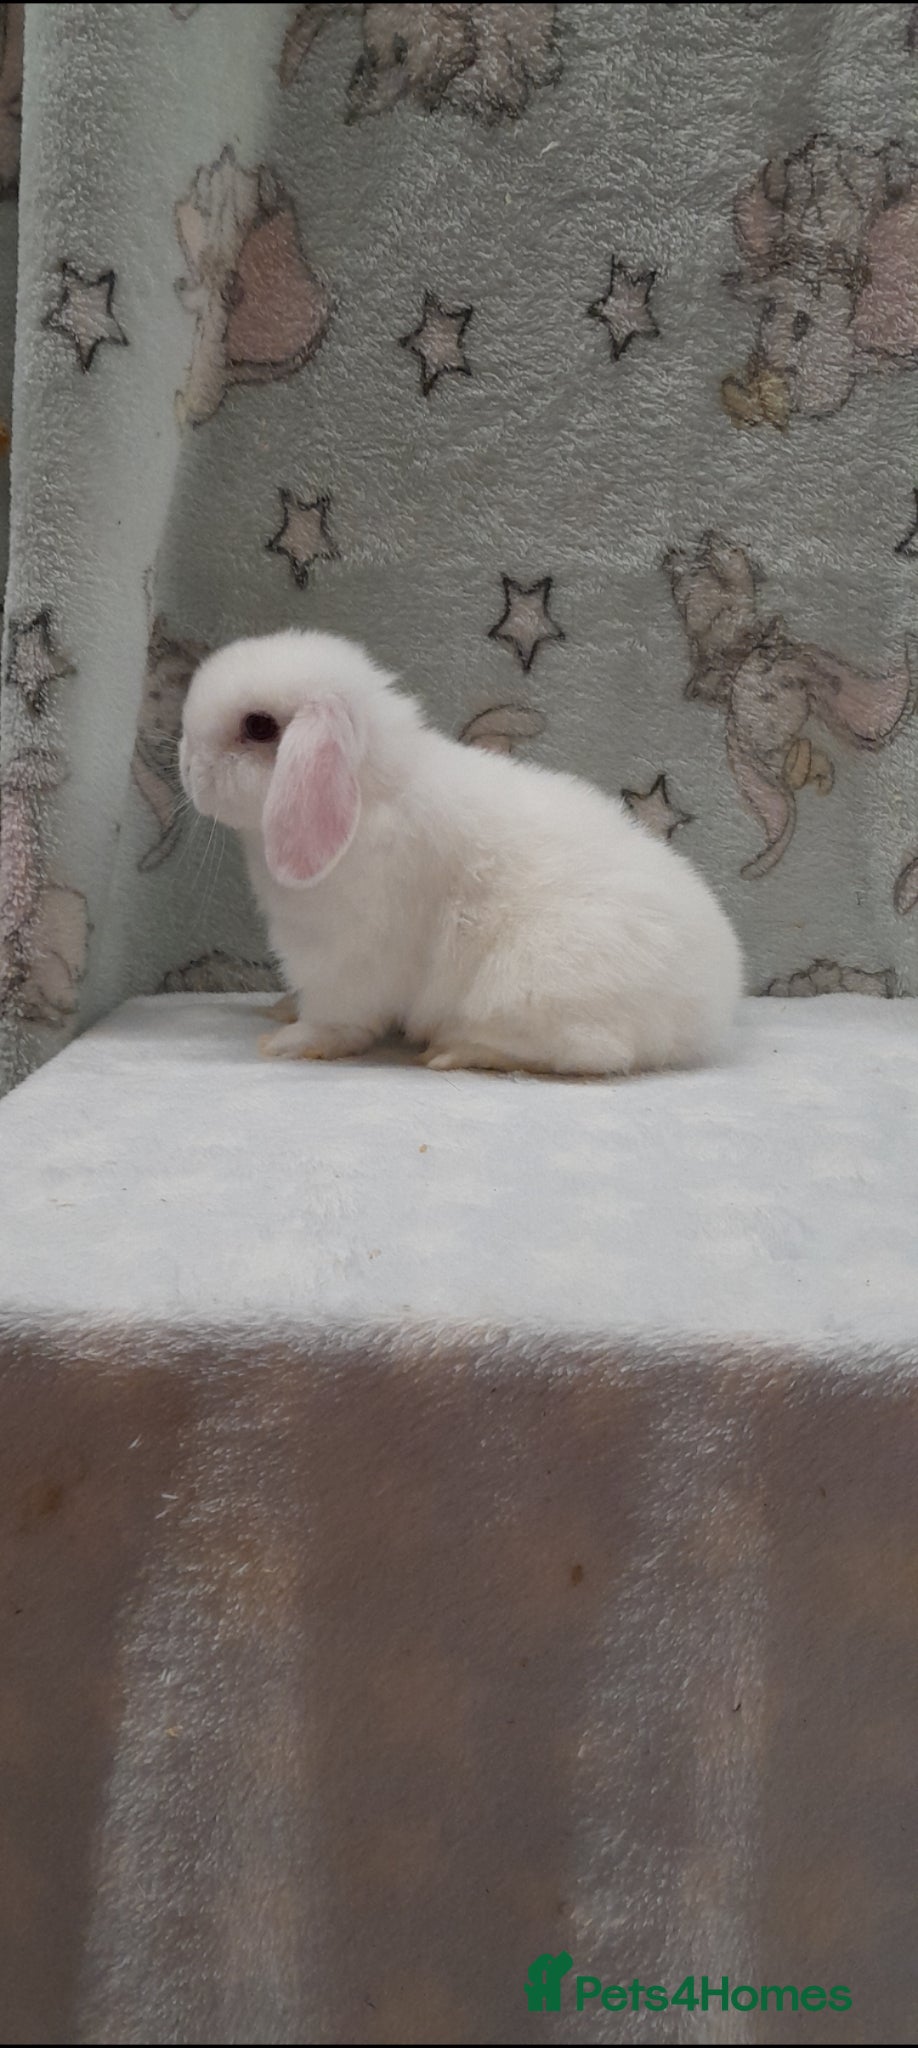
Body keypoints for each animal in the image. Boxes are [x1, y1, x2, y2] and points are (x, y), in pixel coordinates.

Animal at [179, 630, 743, 1075]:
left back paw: (455, 1051)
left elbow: (335, 1019)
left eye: (257, 726)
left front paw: (286, 1042)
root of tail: (711, 1006)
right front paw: (280, 1010)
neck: (370, 792)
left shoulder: (341, 960)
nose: (185, 766)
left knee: (596, 1052)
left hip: (531, 987)